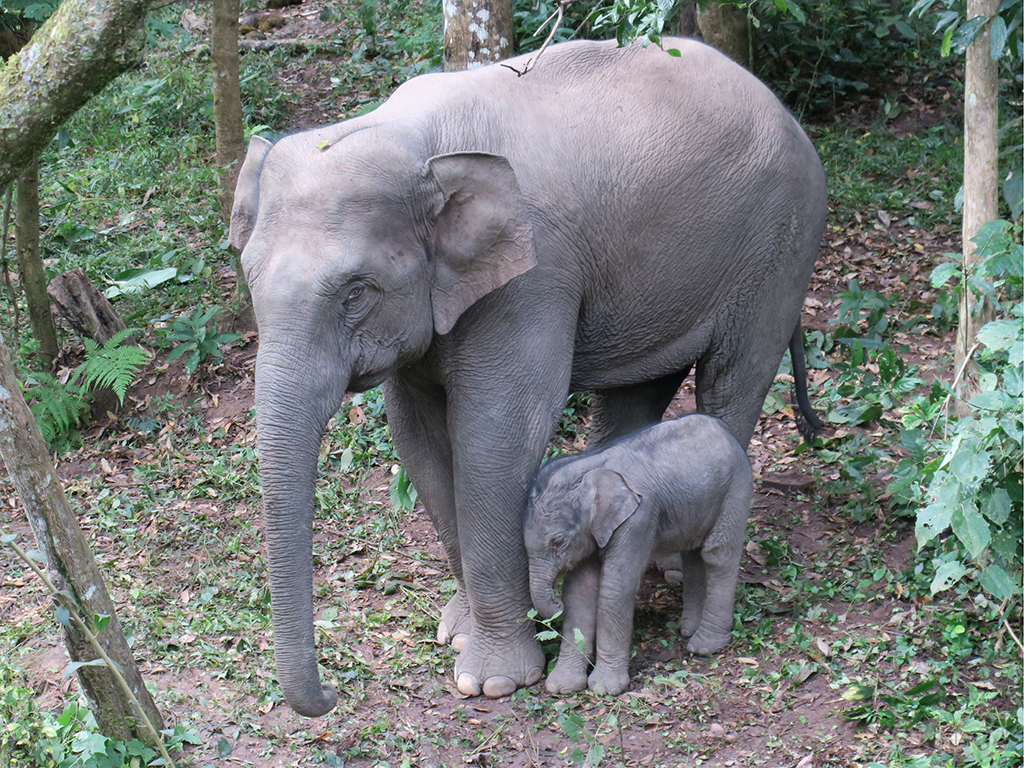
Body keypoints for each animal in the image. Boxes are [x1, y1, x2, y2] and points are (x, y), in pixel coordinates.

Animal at [528, 415, 753, 696]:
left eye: (558, 542)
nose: (556, 603)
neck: (590, 467)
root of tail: (723, 428)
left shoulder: (638, 518)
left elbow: (616, 587)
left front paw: (605, 689)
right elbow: (581, 591)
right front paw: (562, 687)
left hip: (736, 488)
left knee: (717, 554)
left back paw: (704, 645)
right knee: (693, 555)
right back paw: (688, 630)